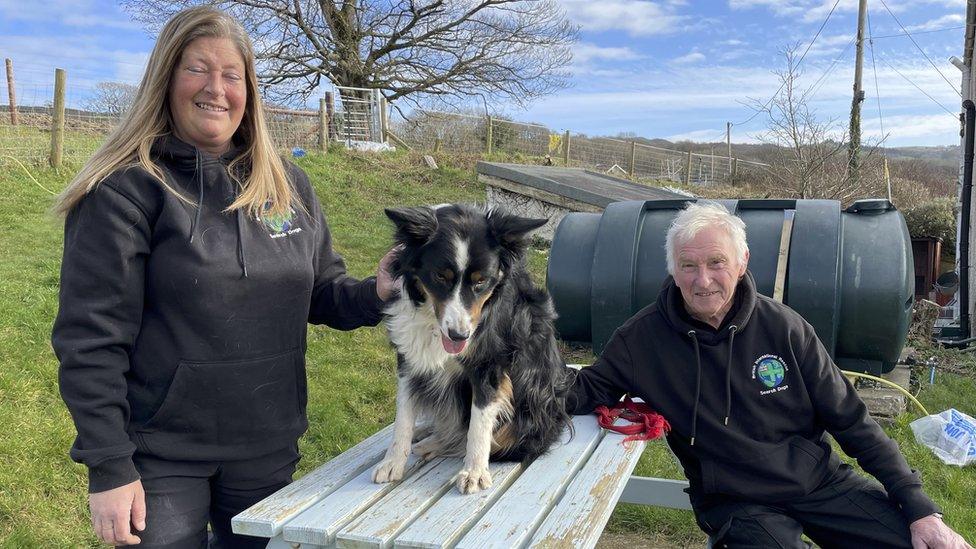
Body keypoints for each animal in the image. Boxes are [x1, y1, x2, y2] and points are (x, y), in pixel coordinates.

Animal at [372, 204, 572, 492]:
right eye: (440, 276)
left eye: (481, 281)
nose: (459, 335)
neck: (434, 324)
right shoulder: (409, 356)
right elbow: (404, 416)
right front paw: (393, 462)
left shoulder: (489, 367)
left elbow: (478, 425)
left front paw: (475, 472)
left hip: (530, 409)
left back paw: (433, 443)